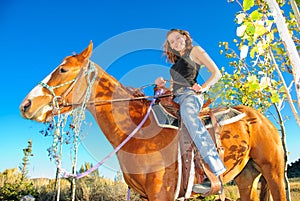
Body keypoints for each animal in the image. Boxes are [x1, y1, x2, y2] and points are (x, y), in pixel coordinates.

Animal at [19, 41, 286, 200]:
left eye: (63, 70)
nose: (26, 105)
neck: (138, 132)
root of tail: (259, 119)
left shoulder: (161, 194)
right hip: (247, 178)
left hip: (274, 172)